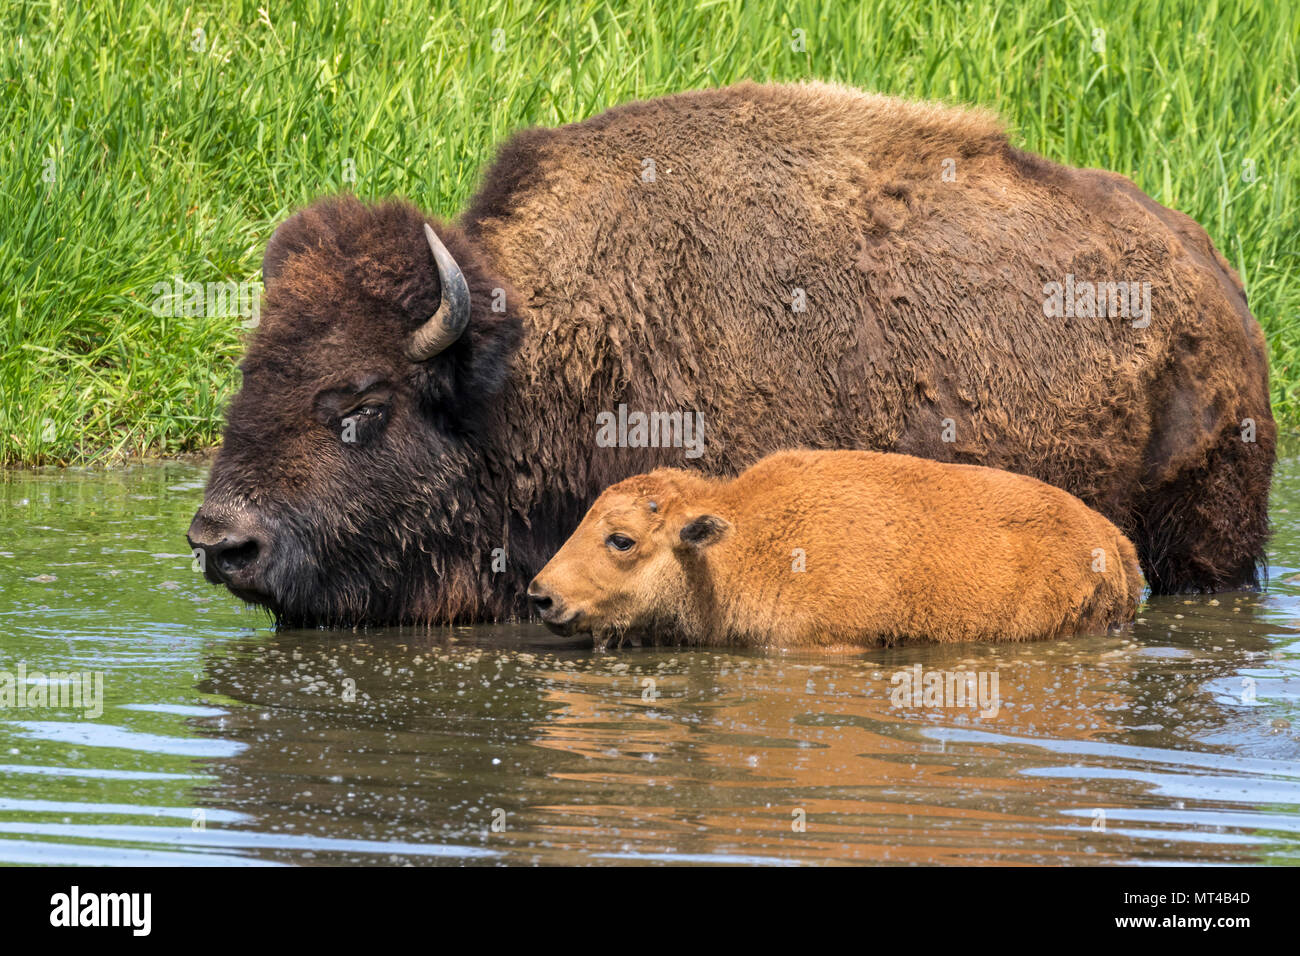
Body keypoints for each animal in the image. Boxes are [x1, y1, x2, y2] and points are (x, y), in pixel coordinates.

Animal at [187, 80, 1274, 628]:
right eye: (248, 376)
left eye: (362, 400)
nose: (219, 541)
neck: (538, 354)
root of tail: (1217, 282)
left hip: (1204, 542)